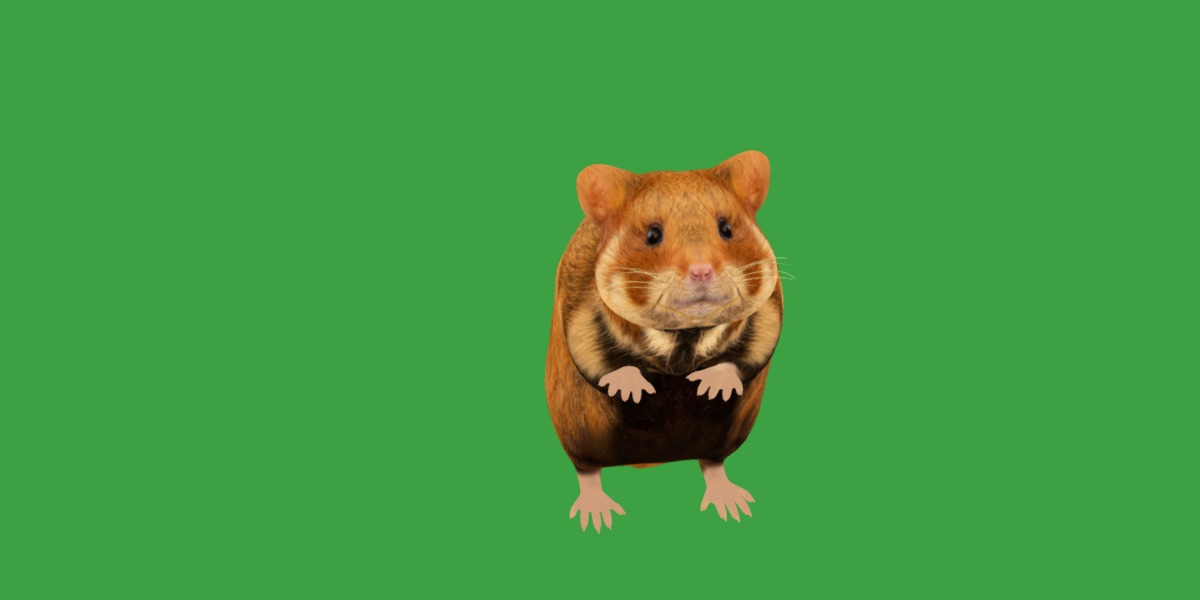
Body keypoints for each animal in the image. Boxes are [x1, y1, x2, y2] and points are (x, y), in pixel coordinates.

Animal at [545, 151, 783, 532]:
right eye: (652, 235)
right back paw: (598, 516)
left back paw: (733, 505)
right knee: (587, 471)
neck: (684, 336)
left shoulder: (770, 309)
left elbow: (751, 350)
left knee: (712, 463)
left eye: (726, 228)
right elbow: (599, 359)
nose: (701, 271)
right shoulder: (577, 310)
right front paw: (636, 391)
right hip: (578, 432)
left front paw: (709, 387)